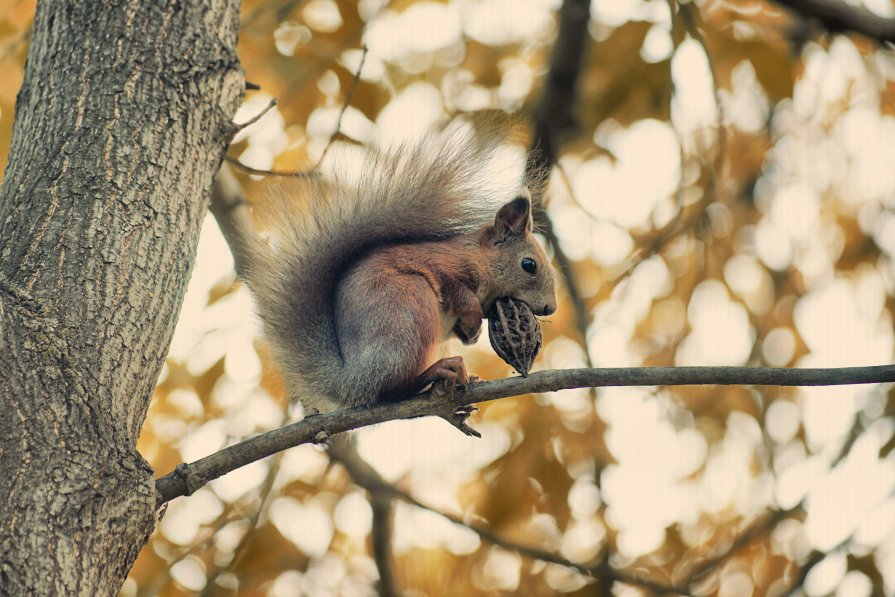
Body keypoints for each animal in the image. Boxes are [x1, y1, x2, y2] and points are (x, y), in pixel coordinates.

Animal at [242, 124, 556, 414]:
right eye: (529, 265)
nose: (551, 308)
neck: (480, 259)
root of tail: (354, 379)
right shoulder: (443, 267)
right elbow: (459, 294)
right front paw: (474, 318)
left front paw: (473, 333)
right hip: (409, 309)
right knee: (394, 389)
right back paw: (439, 370)